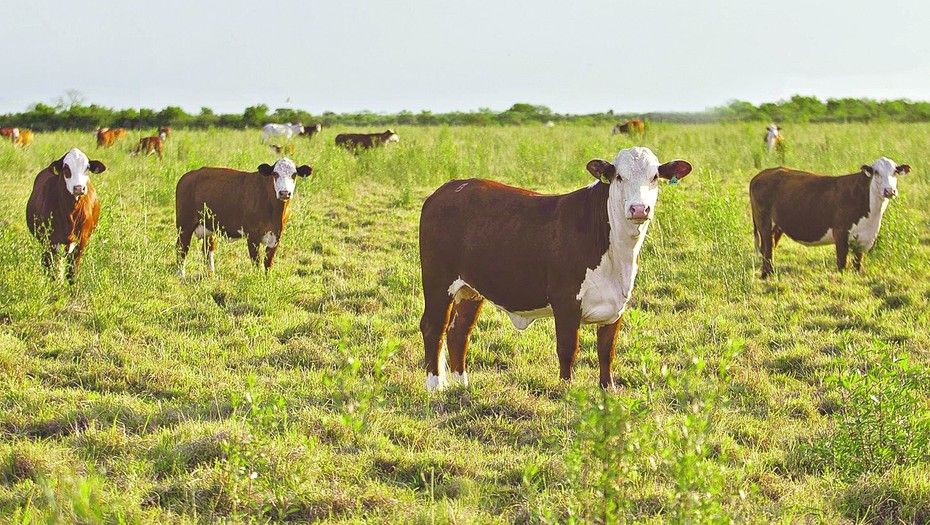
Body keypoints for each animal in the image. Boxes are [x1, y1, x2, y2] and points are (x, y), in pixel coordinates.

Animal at [26, 147, 107, 282]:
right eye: (65, 168)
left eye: (87, 167)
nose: (78, 188)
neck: (71, 213)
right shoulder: (51, 241)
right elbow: (53, 270)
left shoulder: (82, 241)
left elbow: (72, 273)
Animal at [176, 158, 314, 276]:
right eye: (275, 174)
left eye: (294, 175)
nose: (284, 193)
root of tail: (189, 175)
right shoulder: (252, 235)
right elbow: (256, 262)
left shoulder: (276, 236)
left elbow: (268, 263)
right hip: (184, 225)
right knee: (182, 248)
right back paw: (180, 275)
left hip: (209, 226)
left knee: (208, 248)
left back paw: (210, 273)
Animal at [416, 144, 688, 388]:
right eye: (619, 176)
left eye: (655, 177)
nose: (639, 209)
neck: (616, 253)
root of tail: (448, 188)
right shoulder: (565, 301)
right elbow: (568, 349)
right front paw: (566, 391)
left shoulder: (616, 306)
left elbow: (606, 352)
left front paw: (607, 390)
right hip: (438, 280)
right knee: (433, 326)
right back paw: (435, 385)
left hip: (470, 288)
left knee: (459, 331)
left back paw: (461, 385)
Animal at [748, 156, 908, 278]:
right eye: (876, 172)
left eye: (895, 171)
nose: (889, 191)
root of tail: (761, 175)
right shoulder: (841, 234)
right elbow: (842, 264)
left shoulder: (863, 239)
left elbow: (858, 264)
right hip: (764, 223)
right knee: (767, 249)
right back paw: (766, 276)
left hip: (777, 227)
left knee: (770, 248)